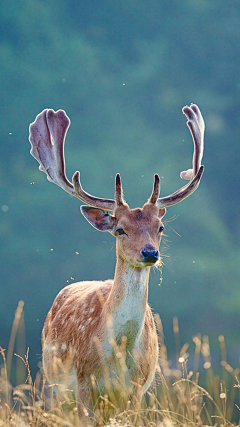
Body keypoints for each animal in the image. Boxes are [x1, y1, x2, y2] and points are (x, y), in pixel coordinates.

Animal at [28, 103, 204, 424]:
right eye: (120, 229)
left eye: (160, 227)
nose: (150, 253)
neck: (118, 356)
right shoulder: (82, 384)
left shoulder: (136, 389)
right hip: (55, 386)